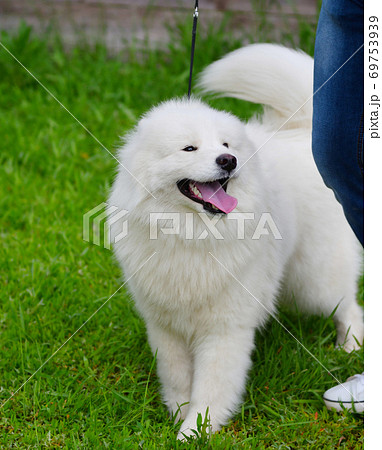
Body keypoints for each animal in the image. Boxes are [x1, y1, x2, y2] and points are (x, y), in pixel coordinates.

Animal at [106, 44, 362, 438]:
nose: (228, 159)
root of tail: (300, 132)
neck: (191, 234)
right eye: (189, 149)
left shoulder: (224, 330)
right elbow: (177, 378)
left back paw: (350, 346)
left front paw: (195, 431)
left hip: (313, 282)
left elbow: (212, 386)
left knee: (349, 305)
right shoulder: (166, 328)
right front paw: (178, 415)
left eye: (225, 144)